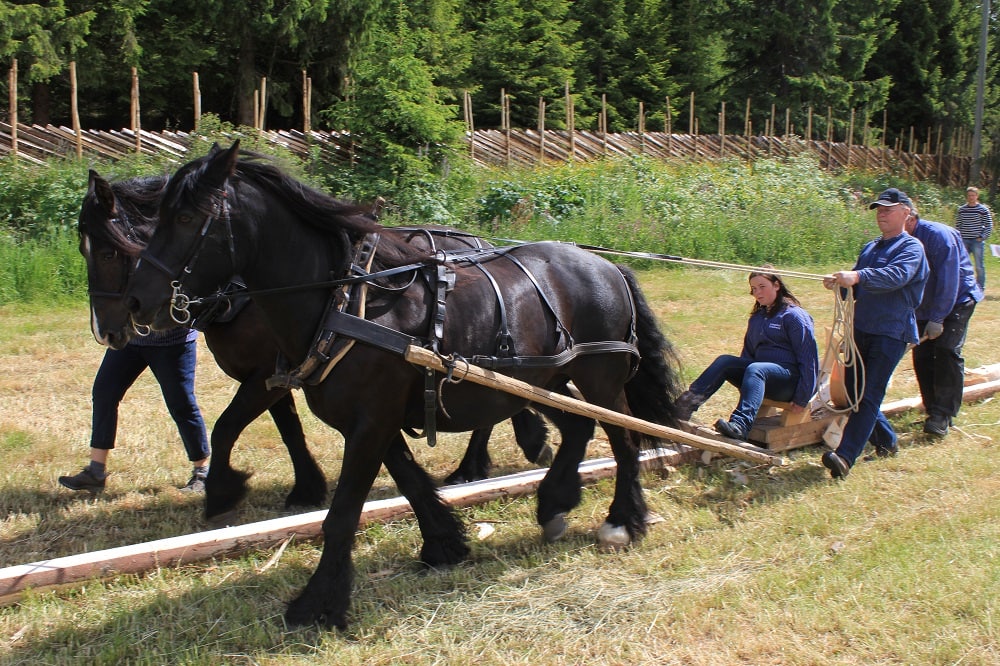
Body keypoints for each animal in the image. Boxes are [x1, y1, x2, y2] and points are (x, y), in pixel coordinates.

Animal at [80, 171, 548, 520]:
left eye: (107, 252)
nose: (107, 331)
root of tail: (479, 243)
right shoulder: (280, 373)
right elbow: (288, 428)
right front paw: (306, 487)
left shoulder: (263, 376)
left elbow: (228, 425)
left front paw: (228, 491)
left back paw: (477, 464)